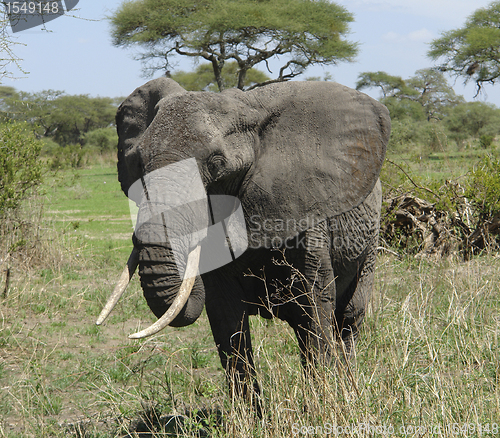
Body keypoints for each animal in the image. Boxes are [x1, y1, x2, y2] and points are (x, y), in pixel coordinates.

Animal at [95, 78, 388, 410]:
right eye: (138, 162)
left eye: (216, 164)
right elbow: (225, 313)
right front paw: (251, 417)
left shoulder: (306, 211)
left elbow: (313, 299)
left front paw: (322, 408)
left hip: (371, 238)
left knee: (348, 317)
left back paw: (349, 390)